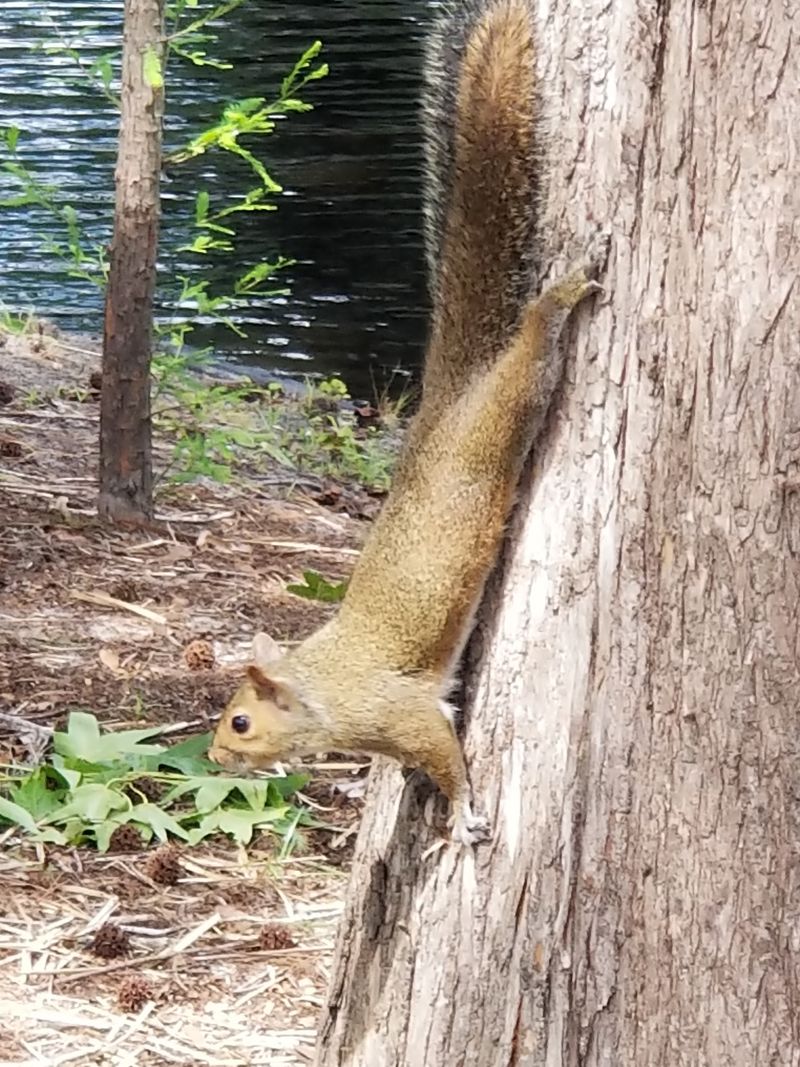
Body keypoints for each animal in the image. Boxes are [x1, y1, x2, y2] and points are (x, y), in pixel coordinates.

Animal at [209, 0, 609, 846]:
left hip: (505, 410)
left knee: (536, 346)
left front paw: (463, 816)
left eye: (240, 722)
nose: (216, 756)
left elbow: (442, 754)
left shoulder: (399, 713)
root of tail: (449, 396)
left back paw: (563, 292)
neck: (322, 686)